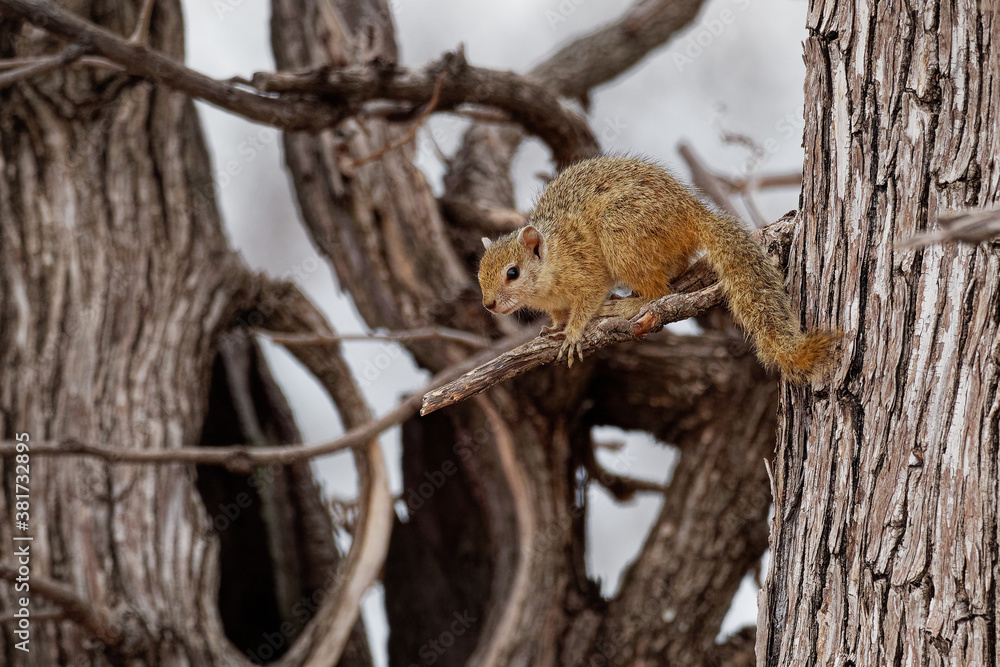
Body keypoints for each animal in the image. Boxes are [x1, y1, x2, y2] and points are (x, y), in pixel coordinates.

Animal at [480, 155, 840, 380]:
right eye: (480, 274)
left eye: (512, 273)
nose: (489, 304)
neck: (551, 266)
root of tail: (690, 213)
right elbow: (557, 315)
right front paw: (555, 328)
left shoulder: (585, 271)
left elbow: (588, 299)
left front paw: (572, 333)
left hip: (623, 238)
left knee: (657, 292)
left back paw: (627, 305)